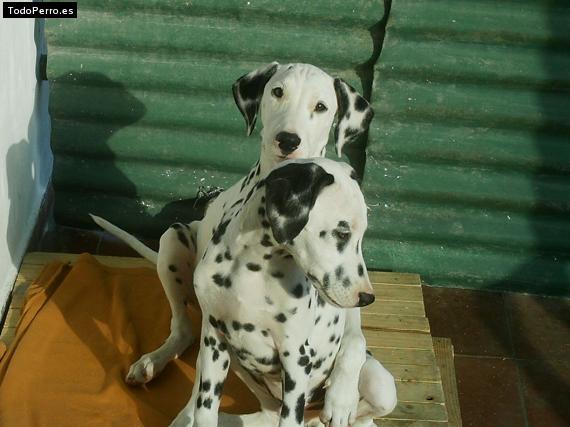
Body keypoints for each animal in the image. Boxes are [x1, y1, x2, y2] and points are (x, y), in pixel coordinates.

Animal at [169, 158, 394, 427]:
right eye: (342, 233)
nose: (367, 297)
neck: (251, 267)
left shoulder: (296, 357)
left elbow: (290, 418)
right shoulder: (214, 340)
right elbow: (205, 411)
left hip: (380, 388)